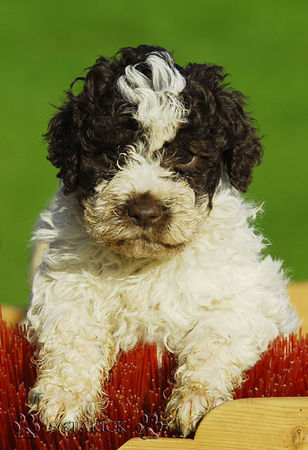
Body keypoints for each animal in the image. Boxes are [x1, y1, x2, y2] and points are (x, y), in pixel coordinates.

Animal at [26, 44, 298, 436]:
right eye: (113, 154)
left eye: (186, 154)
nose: (144, 210)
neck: (146, 262)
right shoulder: (65, 286)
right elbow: (71, 333)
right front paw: (65, 400)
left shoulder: (248, 296)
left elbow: (217, 337)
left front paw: (197, 402)